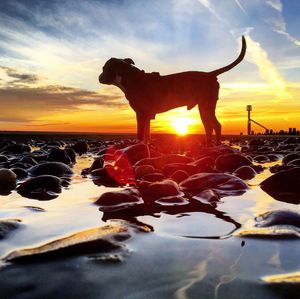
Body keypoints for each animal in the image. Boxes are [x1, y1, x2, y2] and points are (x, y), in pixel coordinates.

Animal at [99, 36, 246, 146]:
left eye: (104, 68)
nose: (99, 77)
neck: (132, 78)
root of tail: (210, 75)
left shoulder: (140, 114)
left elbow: (140, 134)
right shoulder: (146, 116)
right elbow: (147, 133)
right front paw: (146, 146)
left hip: (206, 107)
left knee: (215, 125)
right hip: (205, 108)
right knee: (210, 127)